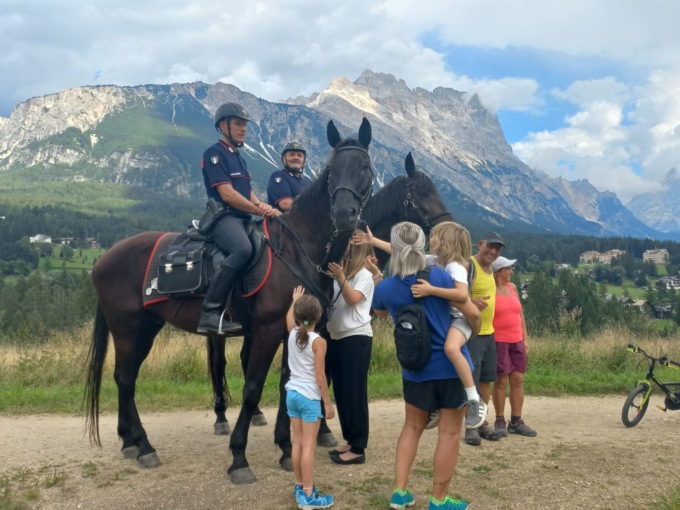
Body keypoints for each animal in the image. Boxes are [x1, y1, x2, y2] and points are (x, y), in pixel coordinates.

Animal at [84, 118, 374, 485]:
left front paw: (286, 449)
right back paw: (145, 446)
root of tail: (104, 258)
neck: (299, 251)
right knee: (125, 378)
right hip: (126, 328)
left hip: (146, 328)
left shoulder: (294, 330)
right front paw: (239, 458)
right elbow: (252, 389)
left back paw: (130, 442)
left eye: (364, 167)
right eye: (332, 171)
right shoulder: (266, 332)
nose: (345, 214)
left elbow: (286, 384)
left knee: (126, 376)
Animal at [206, 151, 454, 446]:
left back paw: (255, 415)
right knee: (218, 363)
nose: (448, 225)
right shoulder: (326, 330)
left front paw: (318, 429)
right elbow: (324, 373)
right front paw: (320, 429)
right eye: (424, 192)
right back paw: (221, 419)